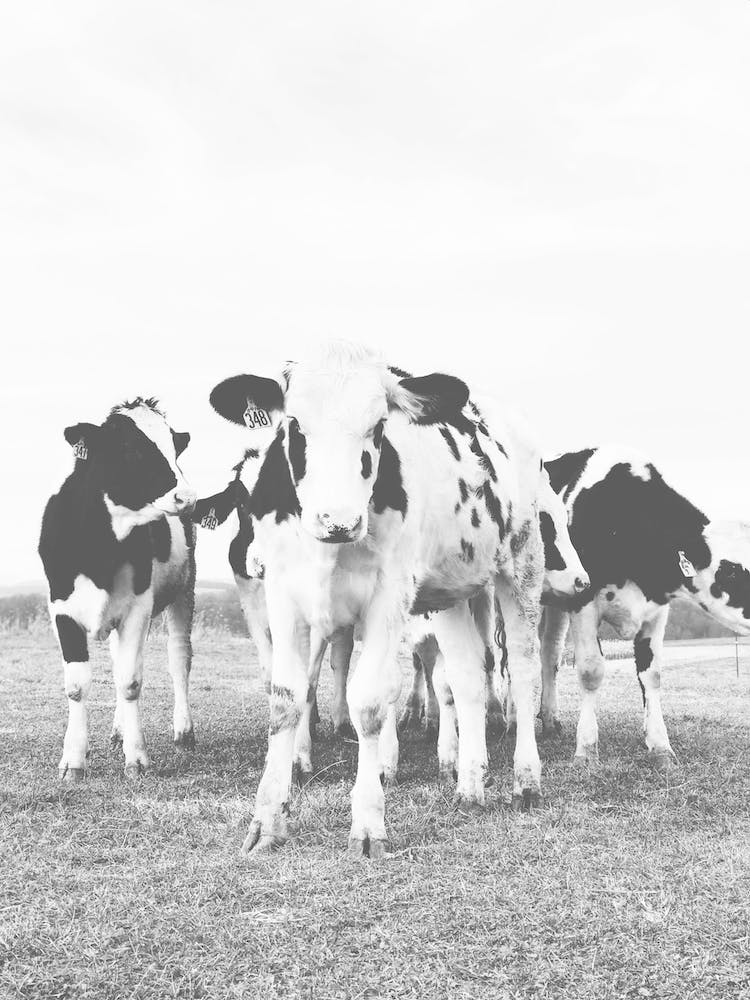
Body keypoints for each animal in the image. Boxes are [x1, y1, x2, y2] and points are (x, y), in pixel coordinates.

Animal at [38, 398, 198, 780]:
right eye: (130, 448)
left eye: (175, 449)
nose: (187, 497)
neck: (99, 547)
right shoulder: (60, 608)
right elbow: (77, 685)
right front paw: (74, 760)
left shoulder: (138, 608)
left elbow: (129, 681)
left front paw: (136, 758)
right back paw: (118, 730)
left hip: (185, 591)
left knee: (179, 659)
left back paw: (183, 730)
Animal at [209, 341, 557, 859]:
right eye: (295, 427)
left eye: (377, 428)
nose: (338, 521)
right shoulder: (284, 595)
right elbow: (286, 699)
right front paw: (267, 821)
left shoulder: (389, 598)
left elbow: (370, 703)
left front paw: (369, 823)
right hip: (451, 591)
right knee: (468, 679)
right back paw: (470, 786)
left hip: (521, 564)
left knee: (524, 671)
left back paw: (526, 782)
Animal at [540, 446, 750, 768]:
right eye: (731, 571)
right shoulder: (582, 602)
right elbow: (590, 670)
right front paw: (586, 749)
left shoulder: (656, 611)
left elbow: (652, 674)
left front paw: (660, 745)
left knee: (549, 654)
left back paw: (550, 721)